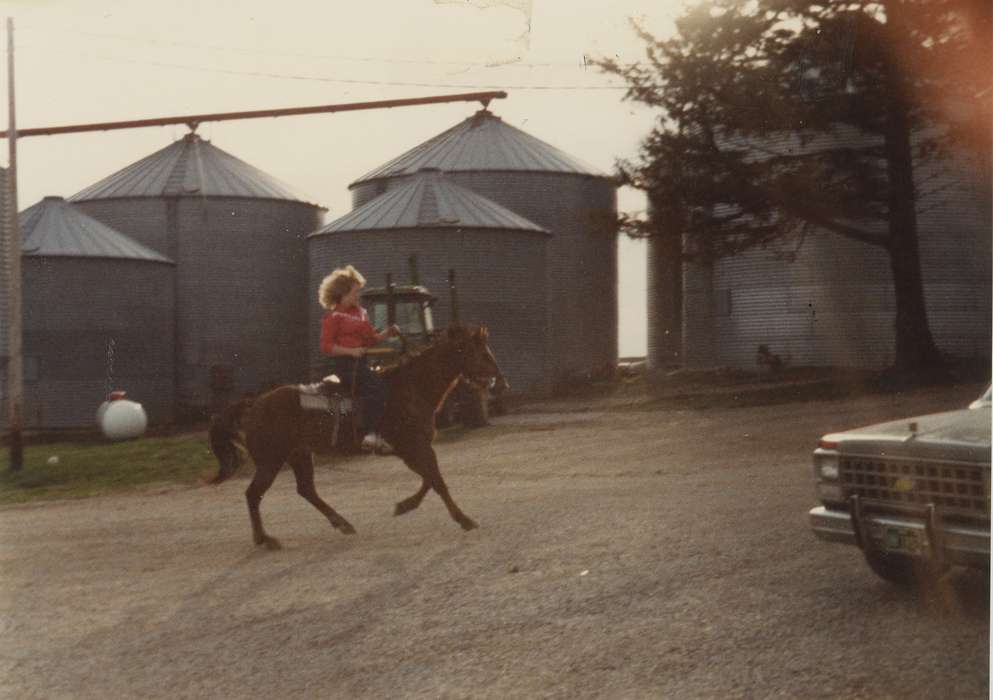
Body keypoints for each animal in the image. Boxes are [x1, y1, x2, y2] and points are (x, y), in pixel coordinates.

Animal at [210, 322, 504, 548]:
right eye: (482, 353)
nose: (500, 381)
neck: (410, 389)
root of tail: (254, 403)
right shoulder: (414, 448)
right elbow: (437, 481)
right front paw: (464, 519)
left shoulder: (413, 450)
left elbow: (429, 481)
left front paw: (404, 506)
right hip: (271, 461)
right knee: (254, 494)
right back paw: (265, 539)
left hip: (299, 455)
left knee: (306, 490)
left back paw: (342, 523)